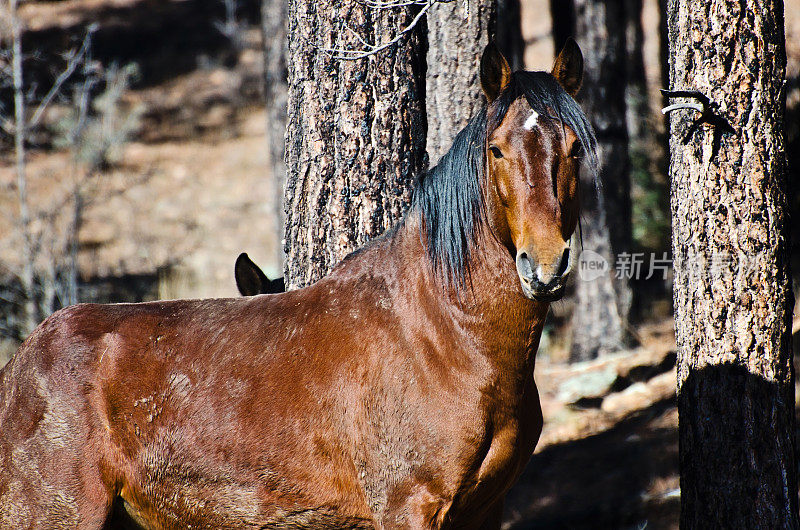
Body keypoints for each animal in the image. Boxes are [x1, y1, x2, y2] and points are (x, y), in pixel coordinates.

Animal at [0, 42, 592, 528]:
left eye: (574, 147)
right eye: (496, 149)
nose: (545, 266)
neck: (443, 335)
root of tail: (19, 366)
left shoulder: (486, 510)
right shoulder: (410, 507)